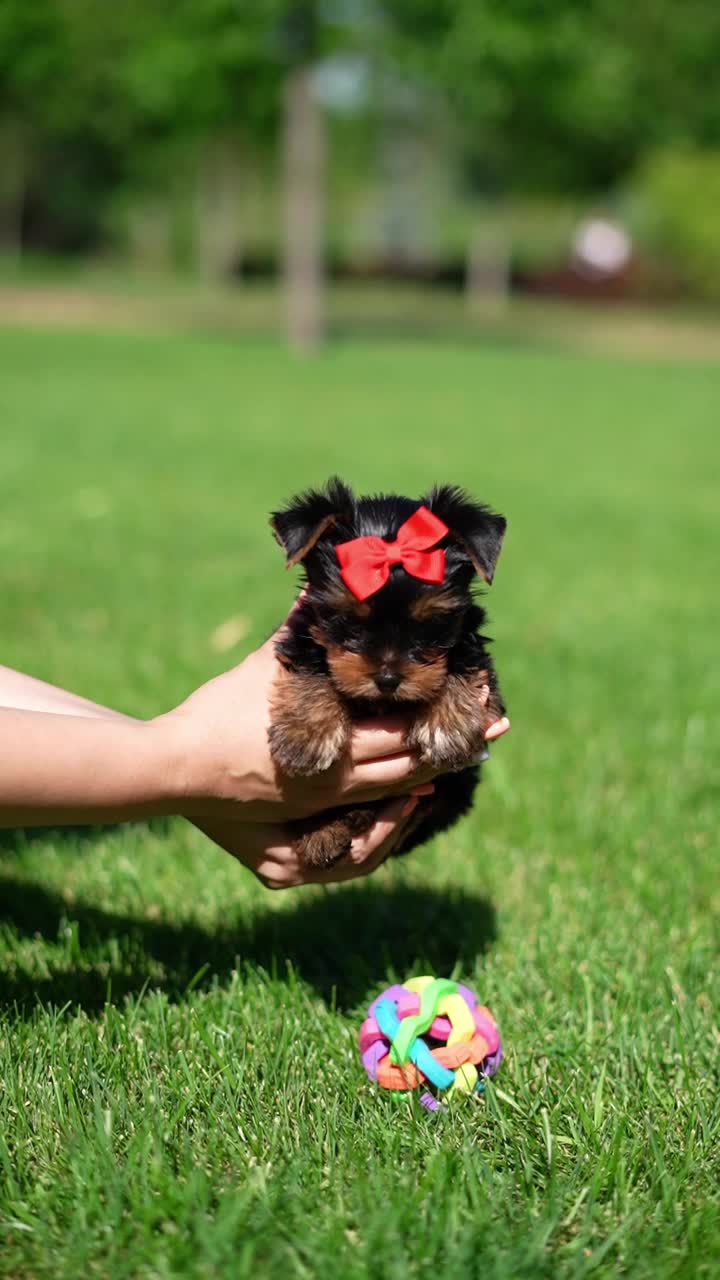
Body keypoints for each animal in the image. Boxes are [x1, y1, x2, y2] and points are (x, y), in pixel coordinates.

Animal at [267, 478, 504, 870]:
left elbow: (463, 663)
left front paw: (448, 725)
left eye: (431, 625)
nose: (388, 679)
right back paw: (322, 831)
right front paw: (306, 736)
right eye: (348, 621)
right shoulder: (304, 633)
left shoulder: (473, 649)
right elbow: (313, 669)